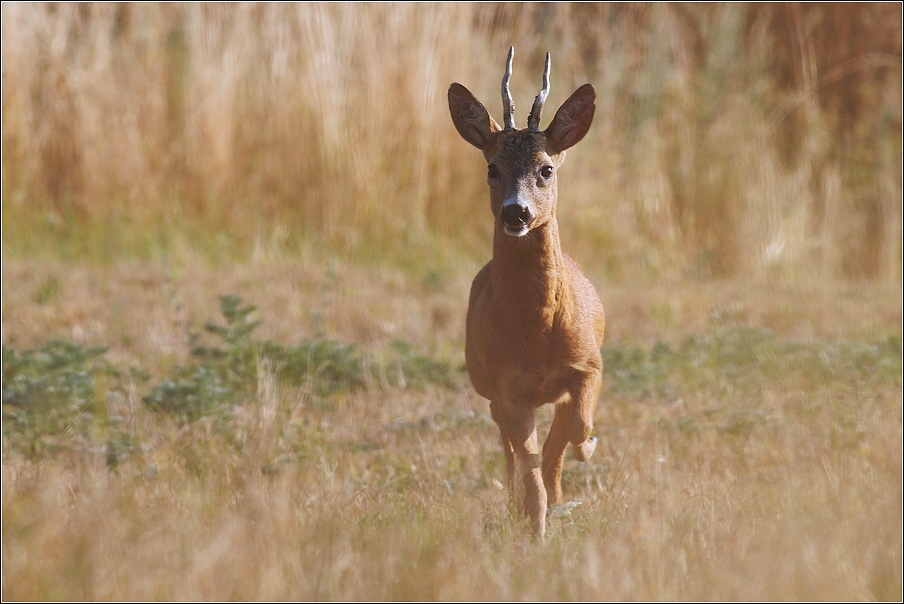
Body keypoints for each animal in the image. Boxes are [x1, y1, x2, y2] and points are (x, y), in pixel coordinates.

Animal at [448, 48, 604, 536]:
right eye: (492, 168)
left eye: (546, 168)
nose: (515, 212)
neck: (540, 336)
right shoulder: (508, 387)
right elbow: (530, 471)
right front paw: (535, 528)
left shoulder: (590, 364)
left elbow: (576, 426)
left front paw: (586, 448)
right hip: (489, 387)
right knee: (512, 452)